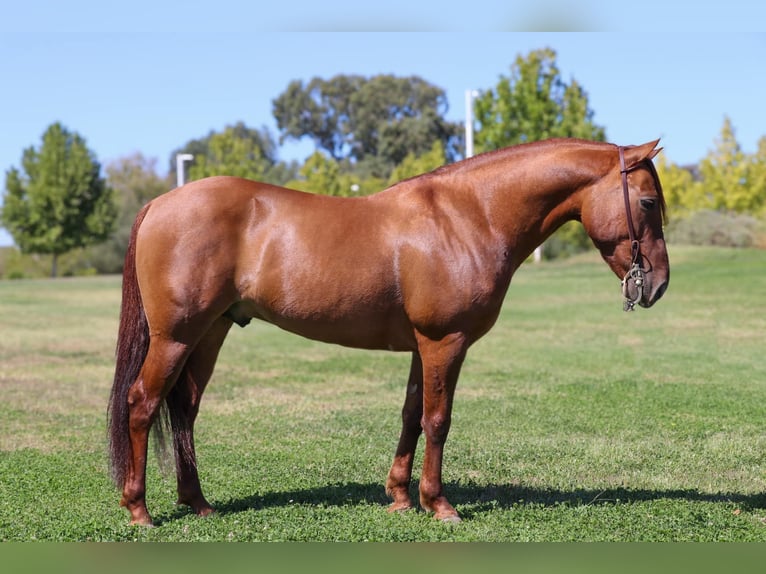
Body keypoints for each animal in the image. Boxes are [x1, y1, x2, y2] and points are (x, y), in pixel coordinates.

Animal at [107, 138, 669, 526]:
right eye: (647, 203)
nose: (659, 285)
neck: (470, 215)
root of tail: (159, 203)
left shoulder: (424, 347)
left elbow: (411, 416)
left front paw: (400, 497)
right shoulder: (446, 343)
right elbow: (438, 420)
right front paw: (440, 505)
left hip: (211, 333)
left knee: (183, 410)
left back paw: (198, 503)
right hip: (176, 337)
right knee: (142, 404)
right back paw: (140, 510)